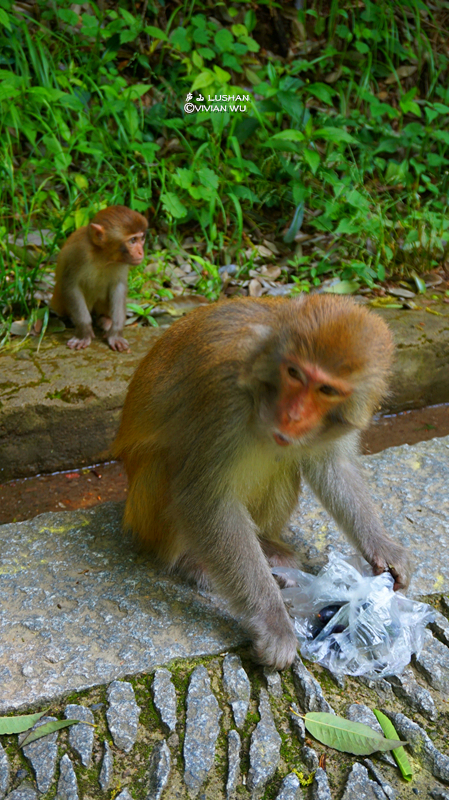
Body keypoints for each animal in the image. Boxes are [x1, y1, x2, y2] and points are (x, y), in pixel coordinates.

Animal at [51, 205, 148, 348]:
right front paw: (84, 332)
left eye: (142, 238)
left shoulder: (121, 262)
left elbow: (118, 287)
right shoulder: (79, 253)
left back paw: (105, 320)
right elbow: (70, 285)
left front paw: (116, 333)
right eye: (132, 240)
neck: (102, 254)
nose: (141, 252)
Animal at [113, 294, 410, 668]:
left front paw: (382, 546)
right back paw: (191, 562)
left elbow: (333, 465)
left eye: (326, 389)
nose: (293, 415)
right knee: (170, 470)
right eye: (294, 373)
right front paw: (273, 622)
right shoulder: (222, 395)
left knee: (283, 466)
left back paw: (269, 548)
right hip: (145, 510)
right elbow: (204, 498)